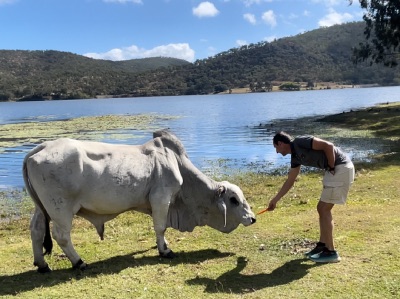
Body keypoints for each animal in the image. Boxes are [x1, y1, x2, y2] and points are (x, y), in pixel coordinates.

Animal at [23, 130, 256, 274]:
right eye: (234, 200)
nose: (252, 218)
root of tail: (40, 148)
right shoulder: (161, 199)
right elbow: (160, 227)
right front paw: (165, 251)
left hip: (41, 208)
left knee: (36, 230)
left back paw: (42, 265)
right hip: (60, 208)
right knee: (61, 236)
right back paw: (79, 262)